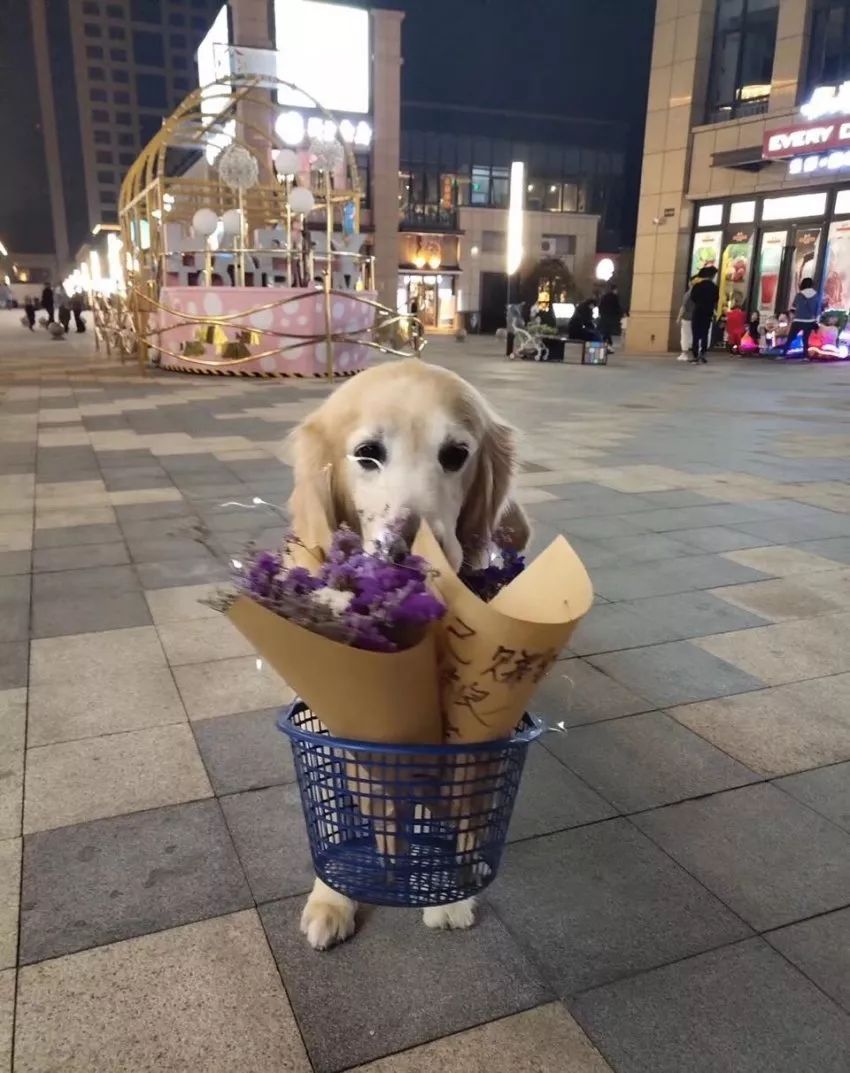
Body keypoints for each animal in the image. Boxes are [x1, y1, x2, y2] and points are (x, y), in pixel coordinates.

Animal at [289, 358, 528, 948]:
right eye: (367, 453)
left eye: (456, 454)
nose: (408, 553)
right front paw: (334, 897)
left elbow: (464, 803)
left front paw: (450, 893)